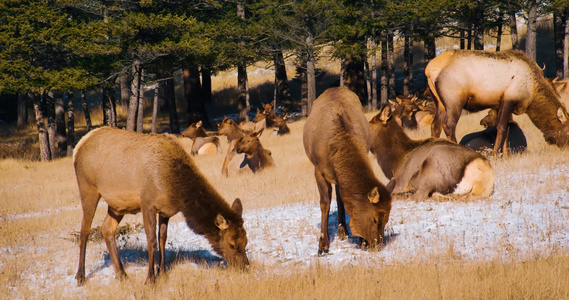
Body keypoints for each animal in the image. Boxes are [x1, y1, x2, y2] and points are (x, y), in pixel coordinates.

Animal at [72, 127, 248, 286]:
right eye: (231, 244)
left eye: (246, 242)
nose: (246, 266)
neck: (176, 188)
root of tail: (79, 145)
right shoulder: (147, 203)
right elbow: (152, 241)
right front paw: (150, 279)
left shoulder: (166, 210)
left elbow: (162, 238)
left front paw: (162, 272)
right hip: (88, 187)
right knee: (84, 230)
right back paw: (80, 276)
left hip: (117, 205)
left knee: (107, 229)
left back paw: (122, 274)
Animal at [304, 86, 392, 253]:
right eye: (375, 219)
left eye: (387, 218)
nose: (377, 245)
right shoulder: (318, 170)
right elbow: (324, 203)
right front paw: (322, 245)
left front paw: (359, 239)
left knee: (340, 195)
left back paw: (343, 230)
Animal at [426, 49, 568, 155]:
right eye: (567, 130)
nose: (566, 148)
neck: (531, 94)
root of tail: (429, 69)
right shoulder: (509, 99)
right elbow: (502, 127)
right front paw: (497, 154)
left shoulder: (500, 103)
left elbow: (506, 128)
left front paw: (505, 155)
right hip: (454, 100)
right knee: (449, 125)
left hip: (439, 102)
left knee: (435, 125)